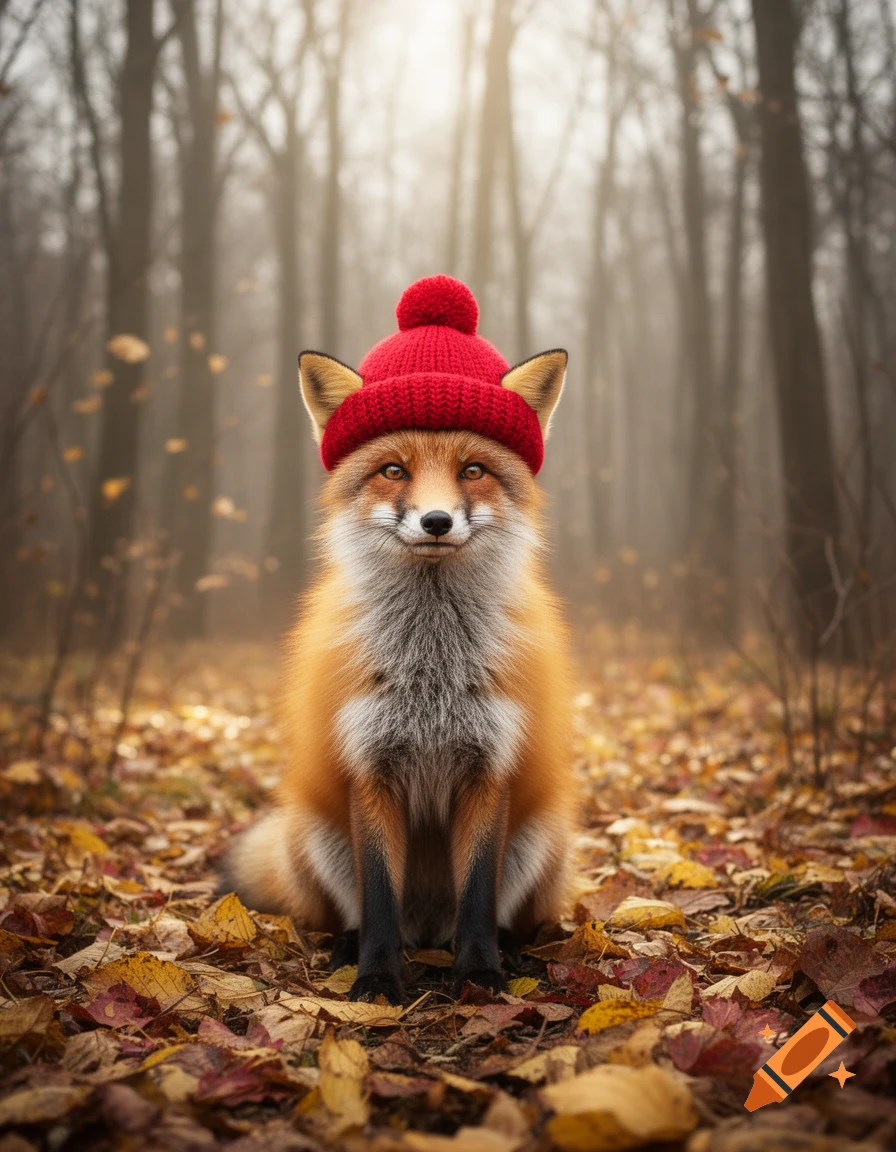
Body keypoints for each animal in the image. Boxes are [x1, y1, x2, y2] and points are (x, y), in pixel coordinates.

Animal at [223, 291, 576, 1005]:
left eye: (473, 470)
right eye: (393, 470)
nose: (436, 521)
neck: (430, 670)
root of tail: (429, 929)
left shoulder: (488, 770)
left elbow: (477, 897)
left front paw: (481, 974)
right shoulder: (370, 767)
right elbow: (379, 895)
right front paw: (378, 980)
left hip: (540, 836)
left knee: (496, 913)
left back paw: (509, 952)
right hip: (318, 836)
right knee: (355, 912)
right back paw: (347, 948)